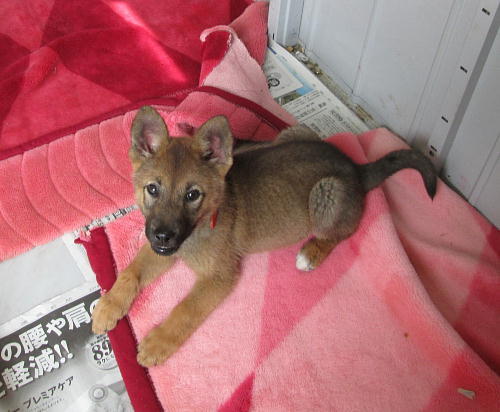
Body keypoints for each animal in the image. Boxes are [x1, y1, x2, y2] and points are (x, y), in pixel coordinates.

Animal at [92, 106, 436, 367]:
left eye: (192, 195)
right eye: (152, 189)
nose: (163, 236)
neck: (203, 224)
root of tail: (356, 167)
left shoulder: (219, 277)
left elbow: (185, 310)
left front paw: (158, 343)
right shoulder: (164, 250)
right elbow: (131, 272)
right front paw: (109, 305)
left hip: (326, 193)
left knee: (341, 231)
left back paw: (311, 253)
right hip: (294, 133)